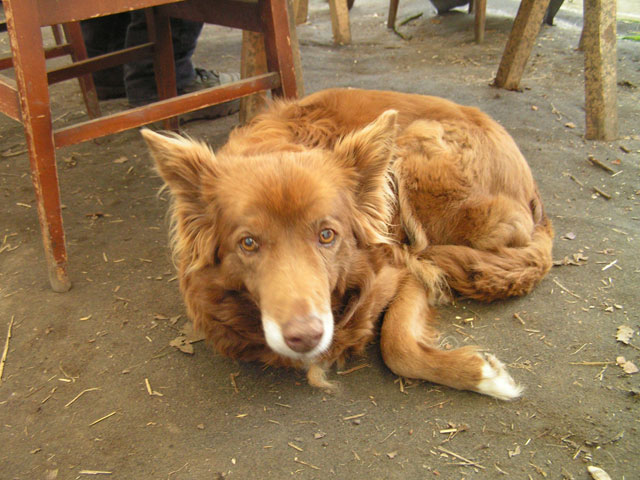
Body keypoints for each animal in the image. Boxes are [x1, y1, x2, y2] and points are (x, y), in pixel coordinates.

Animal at [142, 88, 552, 400]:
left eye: (327, 235)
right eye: (248, 243)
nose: (306, 336)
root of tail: (535, 195)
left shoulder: (401, 268)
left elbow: (396, 344)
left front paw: (484, 376)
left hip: (415, 153)